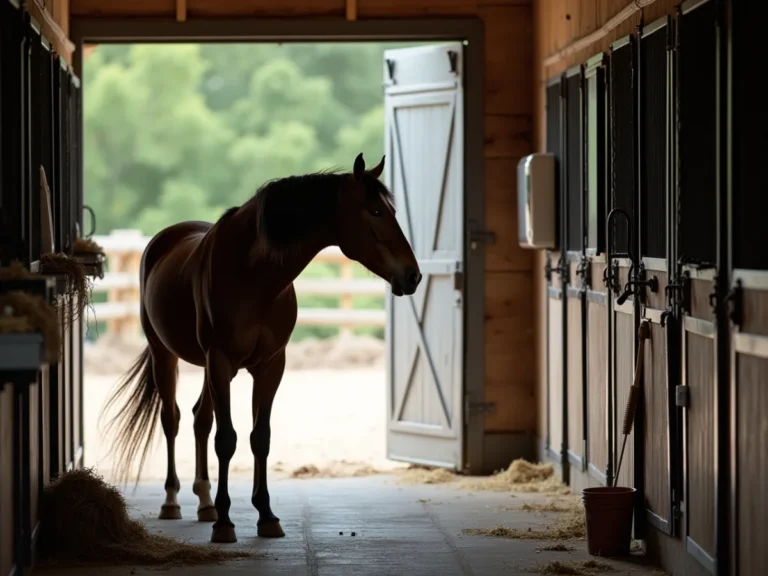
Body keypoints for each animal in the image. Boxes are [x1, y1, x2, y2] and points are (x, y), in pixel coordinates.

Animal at [100, 153, 421, 544]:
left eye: (391, 210)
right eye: (375, 211)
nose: (413, 276)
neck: (254, 275)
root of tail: (162, 240)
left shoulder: (269, 365)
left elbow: (259, 437)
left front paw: (265, 515)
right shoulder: (221, 360)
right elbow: (227, 439)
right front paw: (226, 523)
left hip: (207, 367)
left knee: (200, 419)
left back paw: (205, 502)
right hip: (167, 355)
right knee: (172, 420)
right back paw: (173, 502)